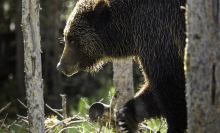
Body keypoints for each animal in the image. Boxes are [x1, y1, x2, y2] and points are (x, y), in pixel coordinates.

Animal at [56, 0, 186, 132]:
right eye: (66, 37)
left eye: (72, 39)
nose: (60, 66)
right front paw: (126, 118)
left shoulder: (159, 34)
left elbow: (169, 82)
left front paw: (174, 126)